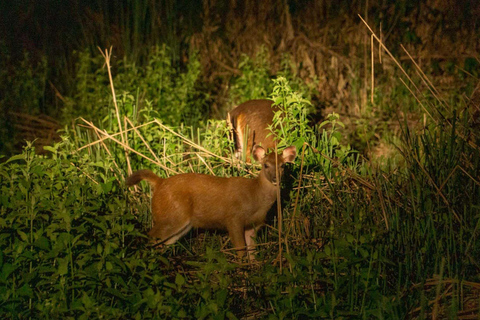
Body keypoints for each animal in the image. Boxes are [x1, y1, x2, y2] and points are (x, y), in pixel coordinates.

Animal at [124, 145, 296, 258]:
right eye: (265, 165)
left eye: (283, 165)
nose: (275, 178)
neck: (255, 196)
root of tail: (159, 183)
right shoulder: (233, 218)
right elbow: (240, 250)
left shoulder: (255, 225)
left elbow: (252, 252)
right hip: (171, 216)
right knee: (149, 237)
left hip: (181, 225)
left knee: (160, 244)